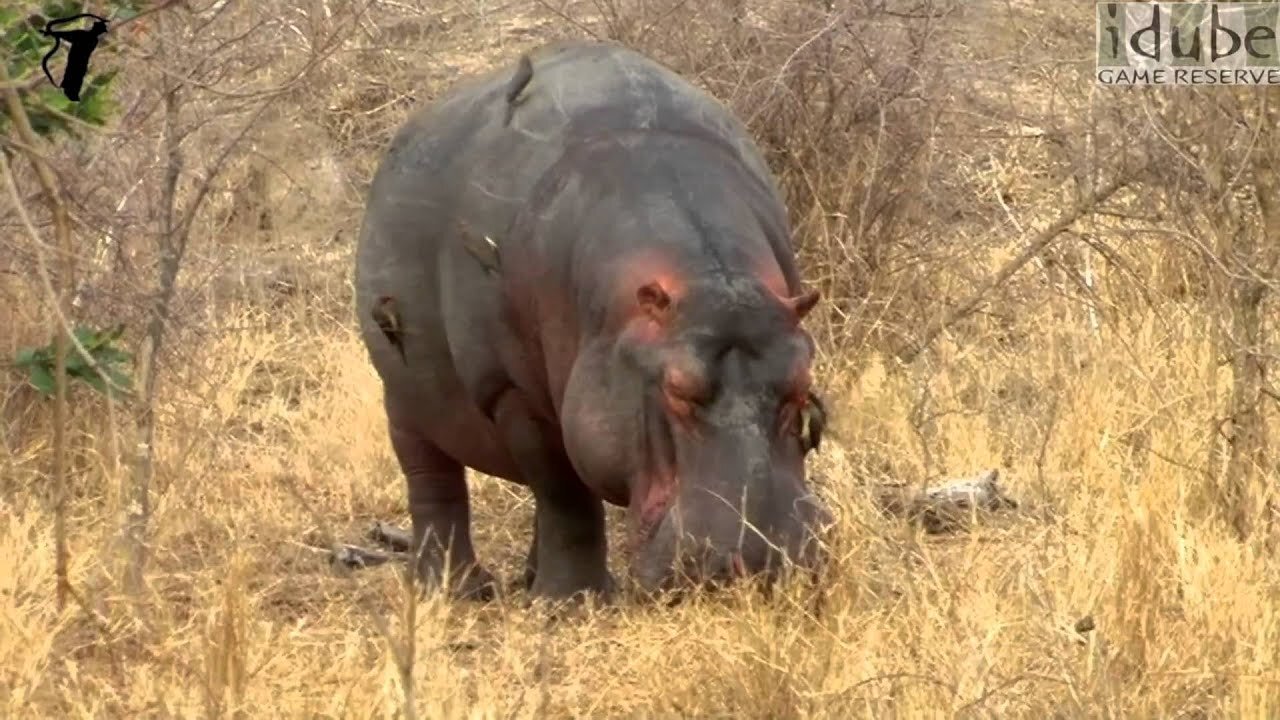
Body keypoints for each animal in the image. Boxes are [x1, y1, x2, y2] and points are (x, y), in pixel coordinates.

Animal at [355, 39, 829, 599]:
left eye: (803, 384)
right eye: (676, 389)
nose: (756, 563)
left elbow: (560, 496)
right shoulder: (511, 392)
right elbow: (564, 492)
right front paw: (570, 602)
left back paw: (526, 579)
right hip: (403, 396)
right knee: (434, 484)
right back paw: (455, 589)